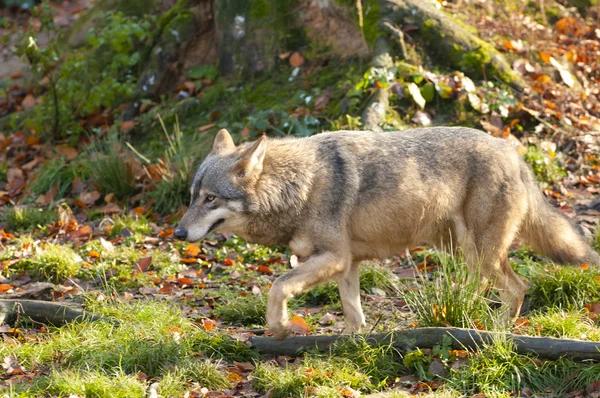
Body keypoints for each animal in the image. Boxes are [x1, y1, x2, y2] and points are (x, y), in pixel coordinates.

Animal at [173, 126, 600, 338]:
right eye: (192, 197)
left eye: (210, 199)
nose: (177, 233)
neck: (299, 185)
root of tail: (513, 152)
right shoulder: (346, 264)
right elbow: (353, 313)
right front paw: (354, 343)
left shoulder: (333, 257)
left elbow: (278, 285)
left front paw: (277, 329)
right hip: (462, 250)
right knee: (480, 286)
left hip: (480, 252)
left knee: (518, 287)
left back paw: (494, 331)